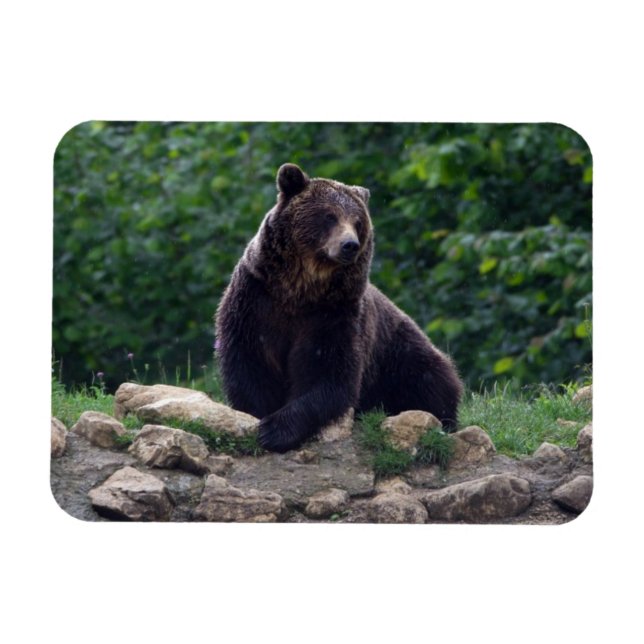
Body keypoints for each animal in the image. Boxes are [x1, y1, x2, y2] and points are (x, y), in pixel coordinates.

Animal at [215, 163, 463, 453]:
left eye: (358, 222)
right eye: (329, 216)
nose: (350, 245)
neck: (299, 289)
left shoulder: (334, 314)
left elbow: (331, 373)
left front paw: (276, 429)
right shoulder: (255, 301)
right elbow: (249, 363)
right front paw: (259, 417)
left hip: (400, 354)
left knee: (432, 381)